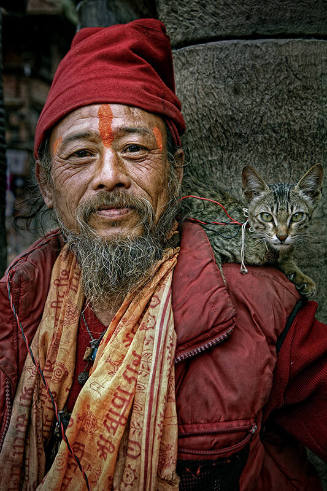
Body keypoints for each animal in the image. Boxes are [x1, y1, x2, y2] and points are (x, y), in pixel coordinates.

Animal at [183, 164, 324, 296]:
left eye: (297, 216)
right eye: (266, 216)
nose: (282, 236)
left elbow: (287, 259)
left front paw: (302, 278)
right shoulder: (211, 238)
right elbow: (216, 273)